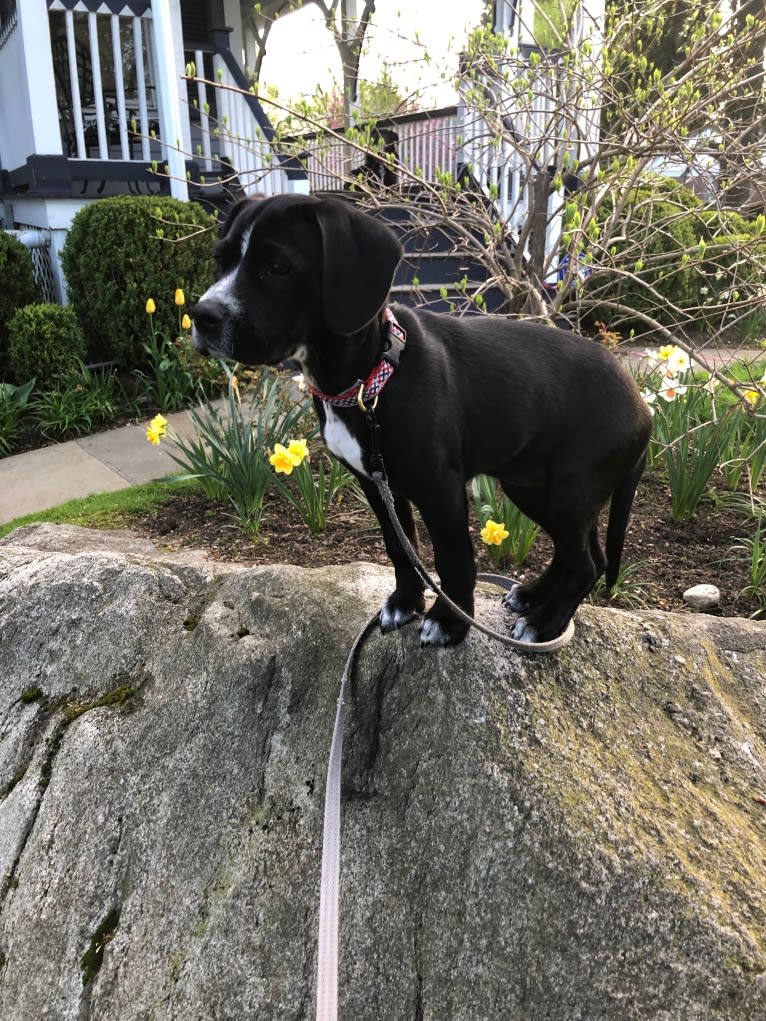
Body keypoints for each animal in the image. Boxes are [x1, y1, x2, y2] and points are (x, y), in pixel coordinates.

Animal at [193, 192, 653, 645]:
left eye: (277, 267)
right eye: (220, 259)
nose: (201, 316)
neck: (370, 378)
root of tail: (643, 406)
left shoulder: (440, 487)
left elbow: (453, 559)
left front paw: (451, 621)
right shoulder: (377, 484)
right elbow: (401, 548)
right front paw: (405, 602)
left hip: (571, 490)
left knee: (585, 564)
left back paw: (544, 623)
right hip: (534, 487)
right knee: (582, 554)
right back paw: (533, 597)